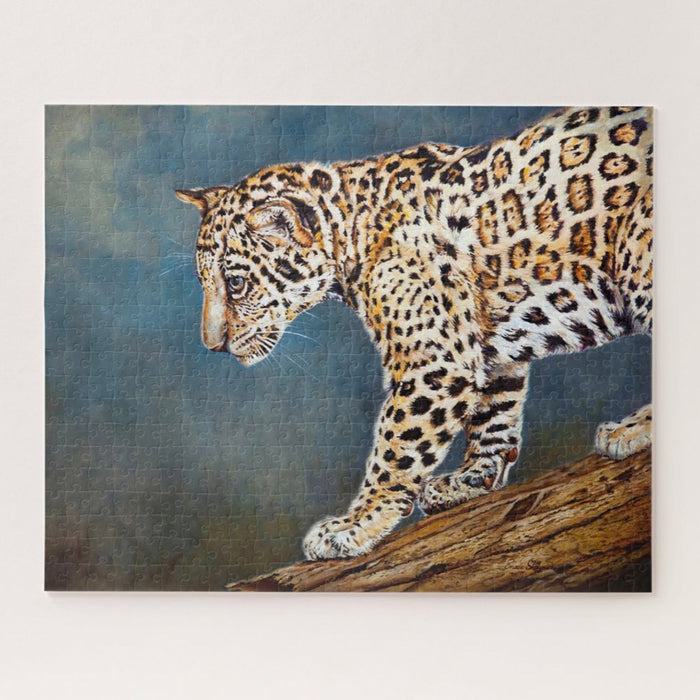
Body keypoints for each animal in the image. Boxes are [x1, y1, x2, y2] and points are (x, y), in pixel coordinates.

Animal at [176, 106, 653, 560]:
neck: (352, 230)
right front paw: (471, 479)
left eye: (237, 283)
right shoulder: (487, 348)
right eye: (205, 282)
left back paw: (631, 429)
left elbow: (396, 447)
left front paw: (354, 525)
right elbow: (494, 414)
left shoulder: (435, 365)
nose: (211, 344)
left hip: (638, 250)